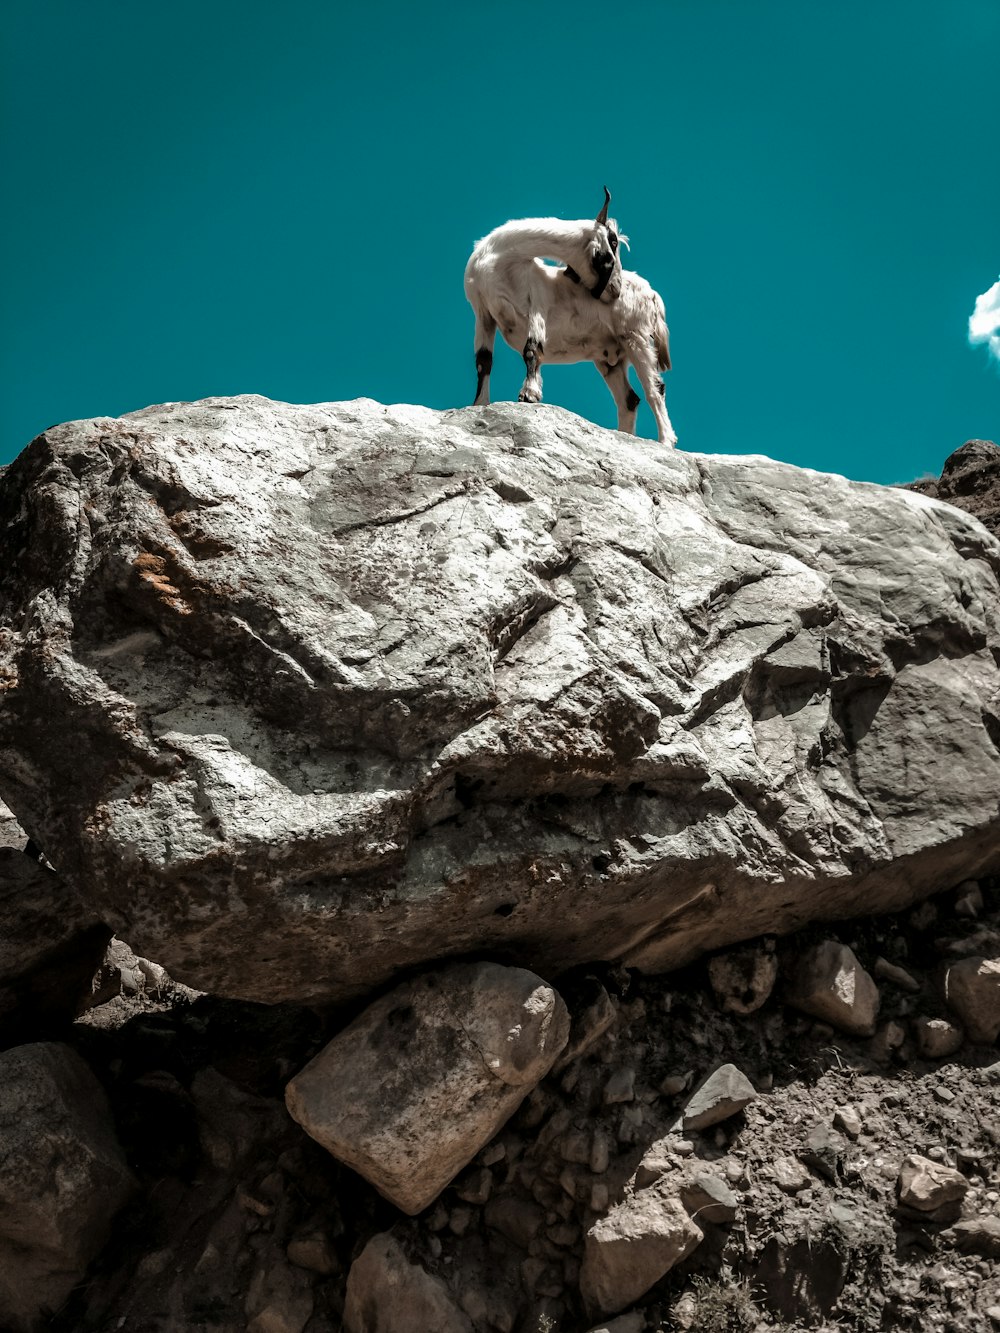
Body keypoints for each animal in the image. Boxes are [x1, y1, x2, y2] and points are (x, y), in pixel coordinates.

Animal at [466, 190, 677, 445]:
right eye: (613, 243)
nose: (616, 289)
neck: (499, 262)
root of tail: (653, 295)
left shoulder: (536, 304)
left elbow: (531, 350)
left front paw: (529, 395)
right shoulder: (482, 312)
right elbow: (483, 361)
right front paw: (479, 404)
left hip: (636, 337)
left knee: (655, 388)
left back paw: (666, 441)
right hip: (610, 357)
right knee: (629, 399)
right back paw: (624, 435)